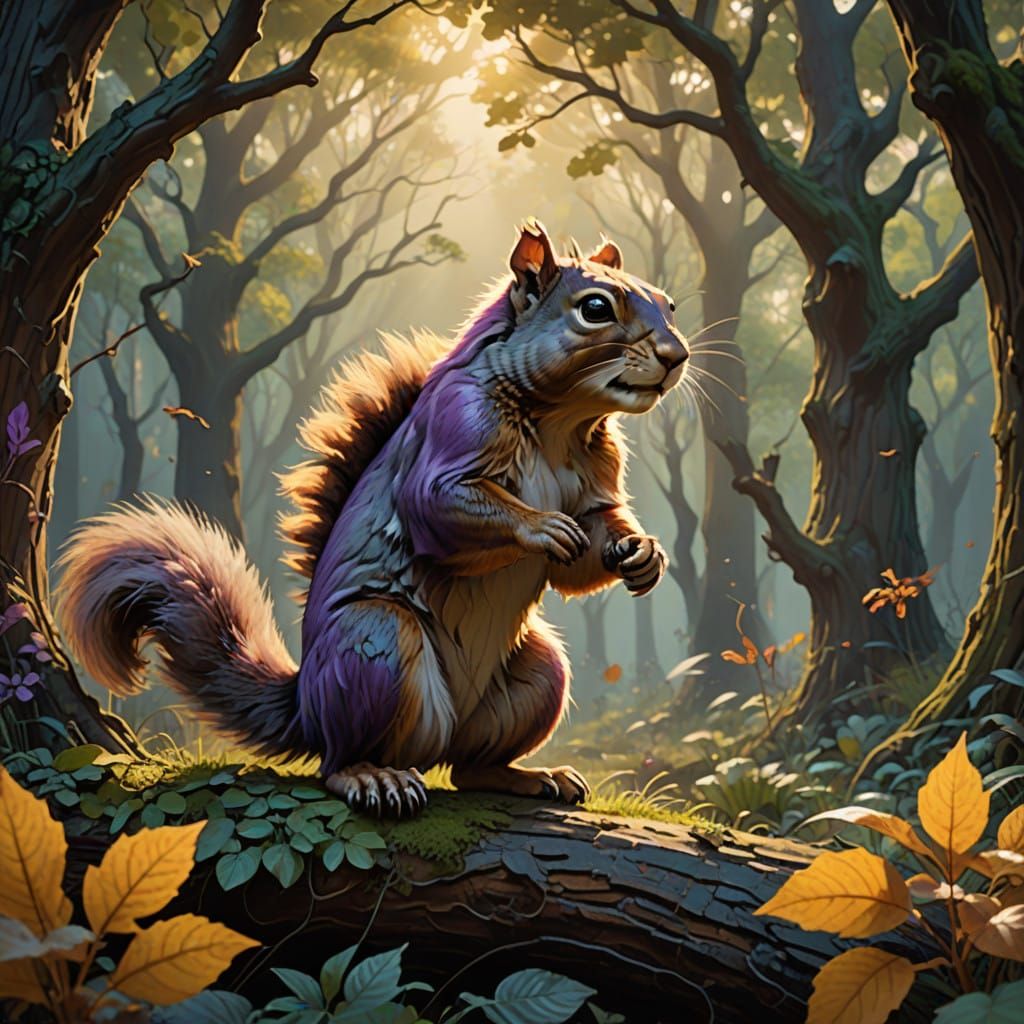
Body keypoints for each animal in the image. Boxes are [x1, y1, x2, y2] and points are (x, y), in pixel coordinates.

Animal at [58, 220, 689, 817]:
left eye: (670, 304)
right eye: (595, 309)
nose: (676, 356)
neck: (560, 420)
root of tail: (307, 709)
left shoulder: (598, 479)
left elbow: (592, 541)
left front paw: (642, 554)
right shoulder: (452, 433)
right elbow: (439, 506)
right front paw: (544, 526)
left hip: (537, 676)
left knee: (470, 768)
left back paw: (530, 776)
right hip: (374, 650)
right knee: (337, 761)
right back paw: (372, 776)